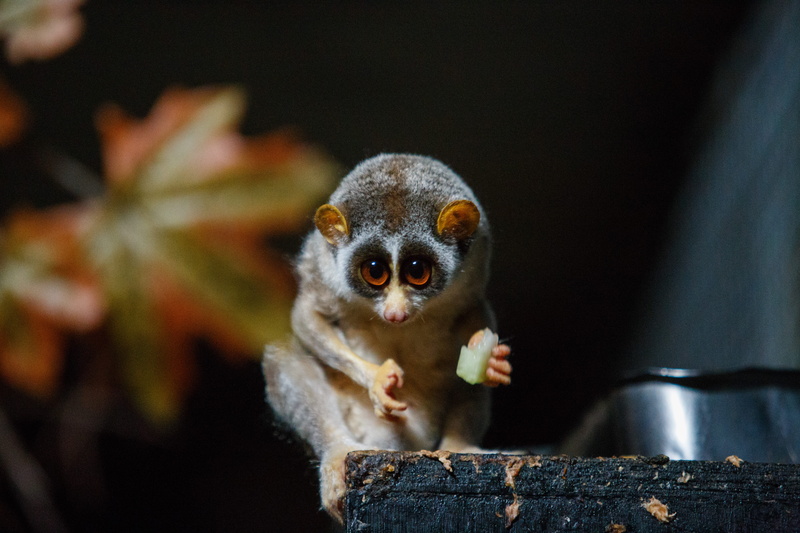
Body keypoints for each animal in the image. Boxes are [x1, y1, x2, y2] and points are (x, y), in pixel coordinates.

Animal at [263, 154, 512, 522]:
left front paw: (491, 361)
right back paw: (337, 453)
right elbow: (307, 316)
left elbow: (475, 316)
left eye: (418, 272)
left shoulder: (475, 269)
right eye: (375, 272)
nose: (395, 314)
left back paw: (459, 446)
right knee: (284, 353)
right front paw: (379, 380)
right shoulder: (324, 270)